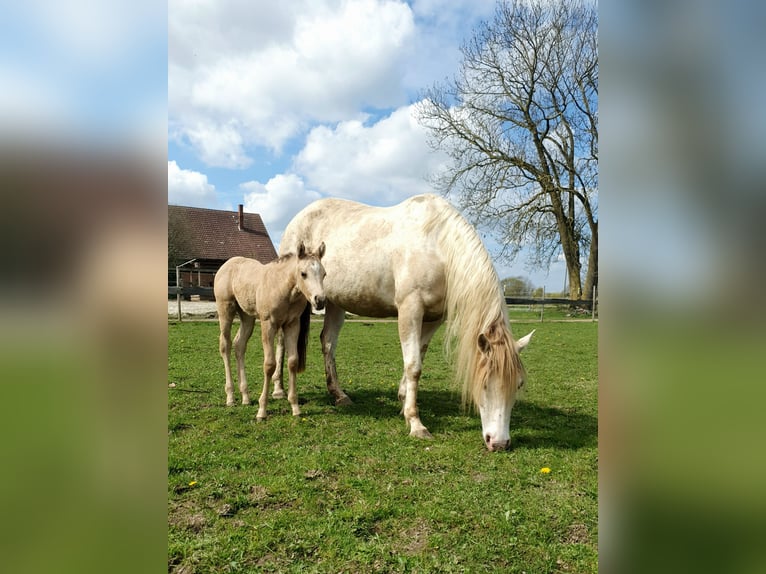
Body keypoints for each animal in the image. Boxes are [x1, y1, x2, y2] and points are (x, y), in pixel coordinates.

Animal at [214, 242, 326, 421]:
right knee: (225, 345)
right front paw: (262, 410)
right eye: (303, 274)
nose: (320, 300)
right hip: (225, 310)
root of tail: (227, 264)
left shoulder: (292, 324)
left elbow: (292, 361)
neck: (284, 289)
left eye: (324, 274)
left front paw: (295, 407)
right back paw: (230, 397)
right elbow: (270, 364)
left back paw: (245, 396)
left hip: (247, 316)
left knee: (239, 345)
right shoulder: (268, 324)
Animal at [273, 194, 533, 451]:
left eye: (519, 384)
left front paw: (402, 401)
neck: (437, 247)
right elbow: (414, 366)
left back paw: (339, 395)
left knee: (328, 342)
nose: (499, 443)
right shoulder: (410, 309)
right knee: (282, 341)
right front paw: (416, 423)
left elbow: (418, 357)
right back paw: (278, 389)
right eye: (485, 384)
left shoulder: (434, 318)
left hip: (336, 302)